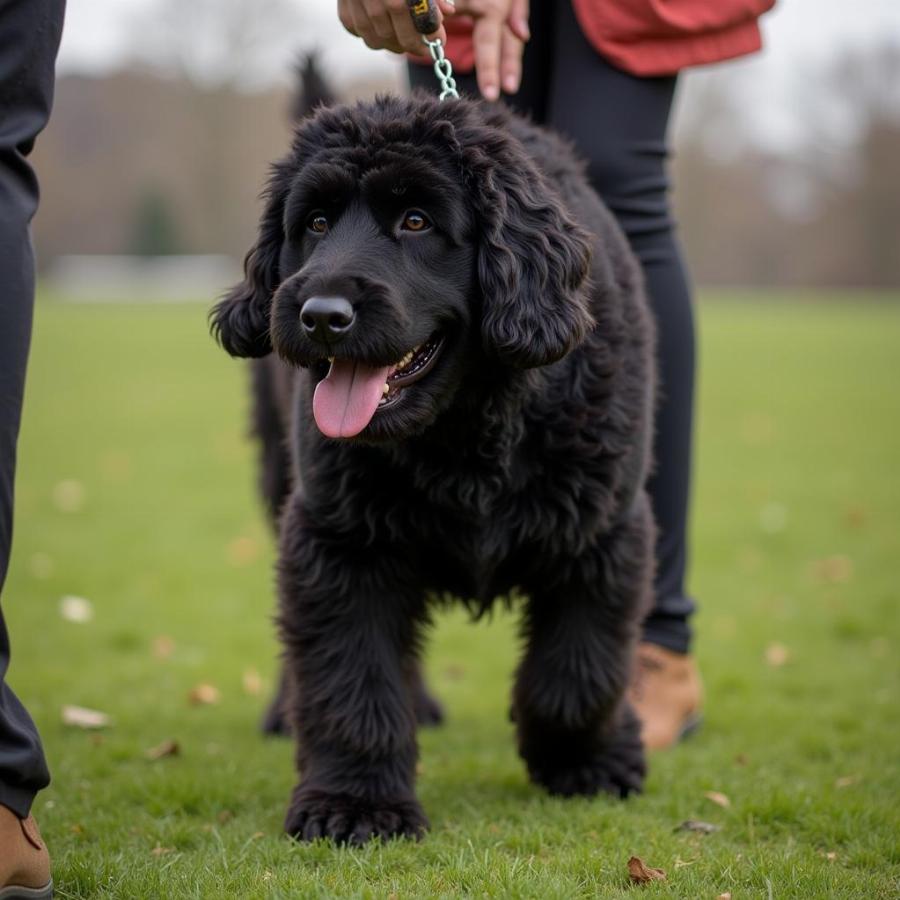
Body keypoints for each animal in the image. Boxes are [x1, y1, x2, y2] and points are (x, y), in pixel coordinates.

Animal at [214, 91, 656, 844]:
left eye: (416, 221)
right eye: (316, 223)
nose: (321, 315)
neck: (465, 428)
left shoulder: (602, 532)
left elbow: (577, 674)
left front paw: (589, 764)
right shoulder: (340, 542)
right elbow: (351, 679)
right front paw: (354, 804)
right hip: (280, 481)